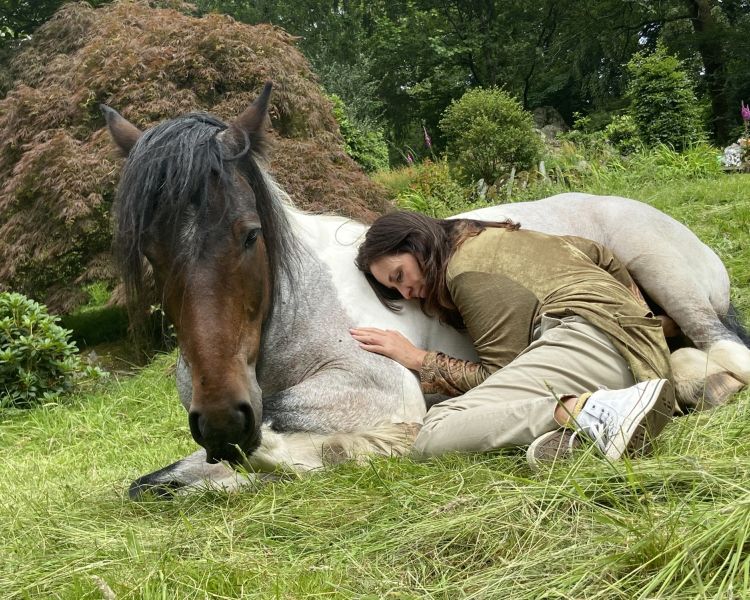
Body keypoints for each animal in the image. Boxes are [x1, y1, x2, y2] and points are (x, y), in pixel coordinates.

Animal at [102, 83, 750, 498]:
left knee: (724, 346)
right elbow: (168, 479)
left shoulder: (378, 391)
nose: (221, 419)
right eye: (149, 252)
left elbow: (289, 425)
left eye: (249, 234)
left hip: (669, 279)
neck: (292, 318)